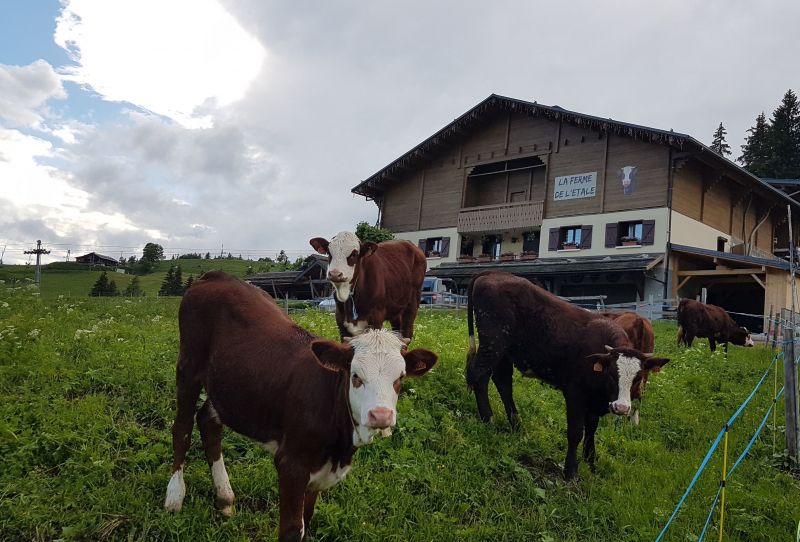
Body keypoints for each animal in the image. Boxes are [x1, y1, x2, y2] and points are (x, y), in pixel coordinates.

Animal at [164, 272, 438, 542]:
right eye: (356, 376)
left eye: (400, 378)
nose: (381, 415)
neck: (340, 445)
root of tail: (215, 276)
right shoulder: (291, 465)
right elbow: (293, 530)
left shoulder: (319, 472)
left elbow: (308, 517)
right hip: (188, 365)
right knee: (182, 429)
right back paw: (175, 496)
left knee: (208, 422)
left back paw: (224, 497)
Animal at [462, 272, 668, 480]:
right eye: (611, 374)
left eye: (638, 377)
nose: (621, 407)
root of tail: (492, 273)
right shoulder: (575, 393)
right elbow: (576, 432)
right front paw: (571, 470)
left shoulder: (595, 399)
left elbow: (591, 428)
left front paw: (590, 460)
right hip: (493, 343)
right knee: (480, 376)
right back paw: (488, 419)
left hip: (504, 350)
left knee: (503, 382)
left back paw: (517, 426)